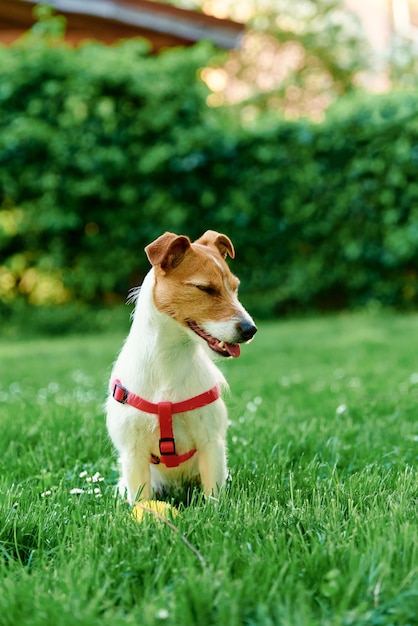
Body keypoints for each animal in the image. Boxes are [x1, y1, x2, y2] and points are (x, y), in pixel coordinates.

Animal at [106, 229, 256, 502]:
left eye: (235, 288)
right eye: (205, 288)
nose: (250, 329)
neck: (168, 363)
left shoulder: (211, 444)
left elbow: (213, 496)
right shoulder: (133, 452)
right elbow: (141, 500)